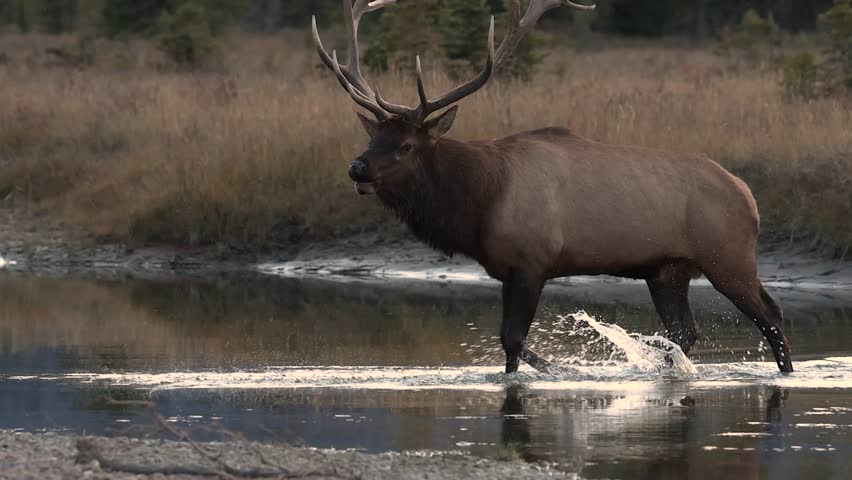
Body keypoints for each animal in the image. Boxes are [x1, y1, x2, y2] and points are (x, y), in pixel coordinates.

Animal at [311, 0, 794, 374]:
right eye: (372, 138)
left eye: (406, 145)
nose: (357, 168)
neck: (480, 201)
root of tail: (747, 194)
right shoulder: (507, 269)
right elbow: (511, 342)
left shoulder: (533, 261)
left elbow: (513, 340)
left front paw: (558, 369)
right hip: (667, 270)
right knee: (684, 331)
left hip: (727, 256)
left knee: (771, 315)